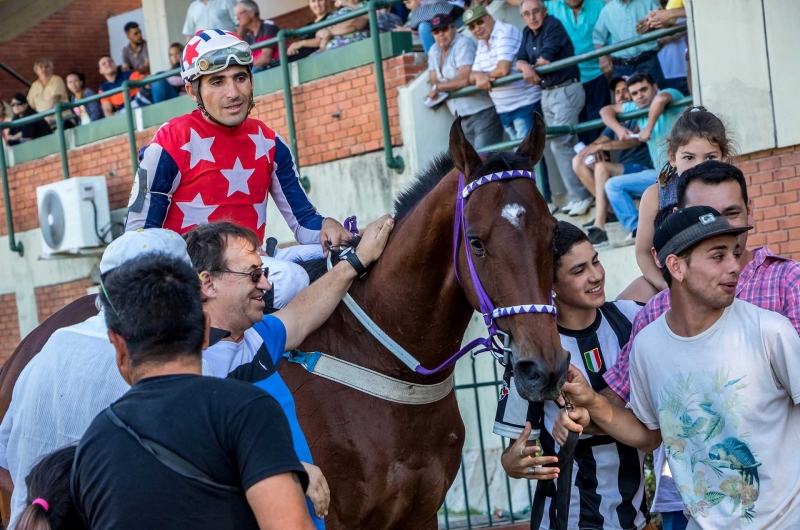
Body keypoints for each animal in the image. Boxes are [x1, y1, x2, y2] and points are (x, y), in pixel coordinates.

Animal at [0, 112, 568, 524]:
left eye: (550, 234)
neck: (381, 360)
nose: (544, 368)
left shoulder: (418, 515)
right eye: (477, 242)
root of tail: (21, 350)